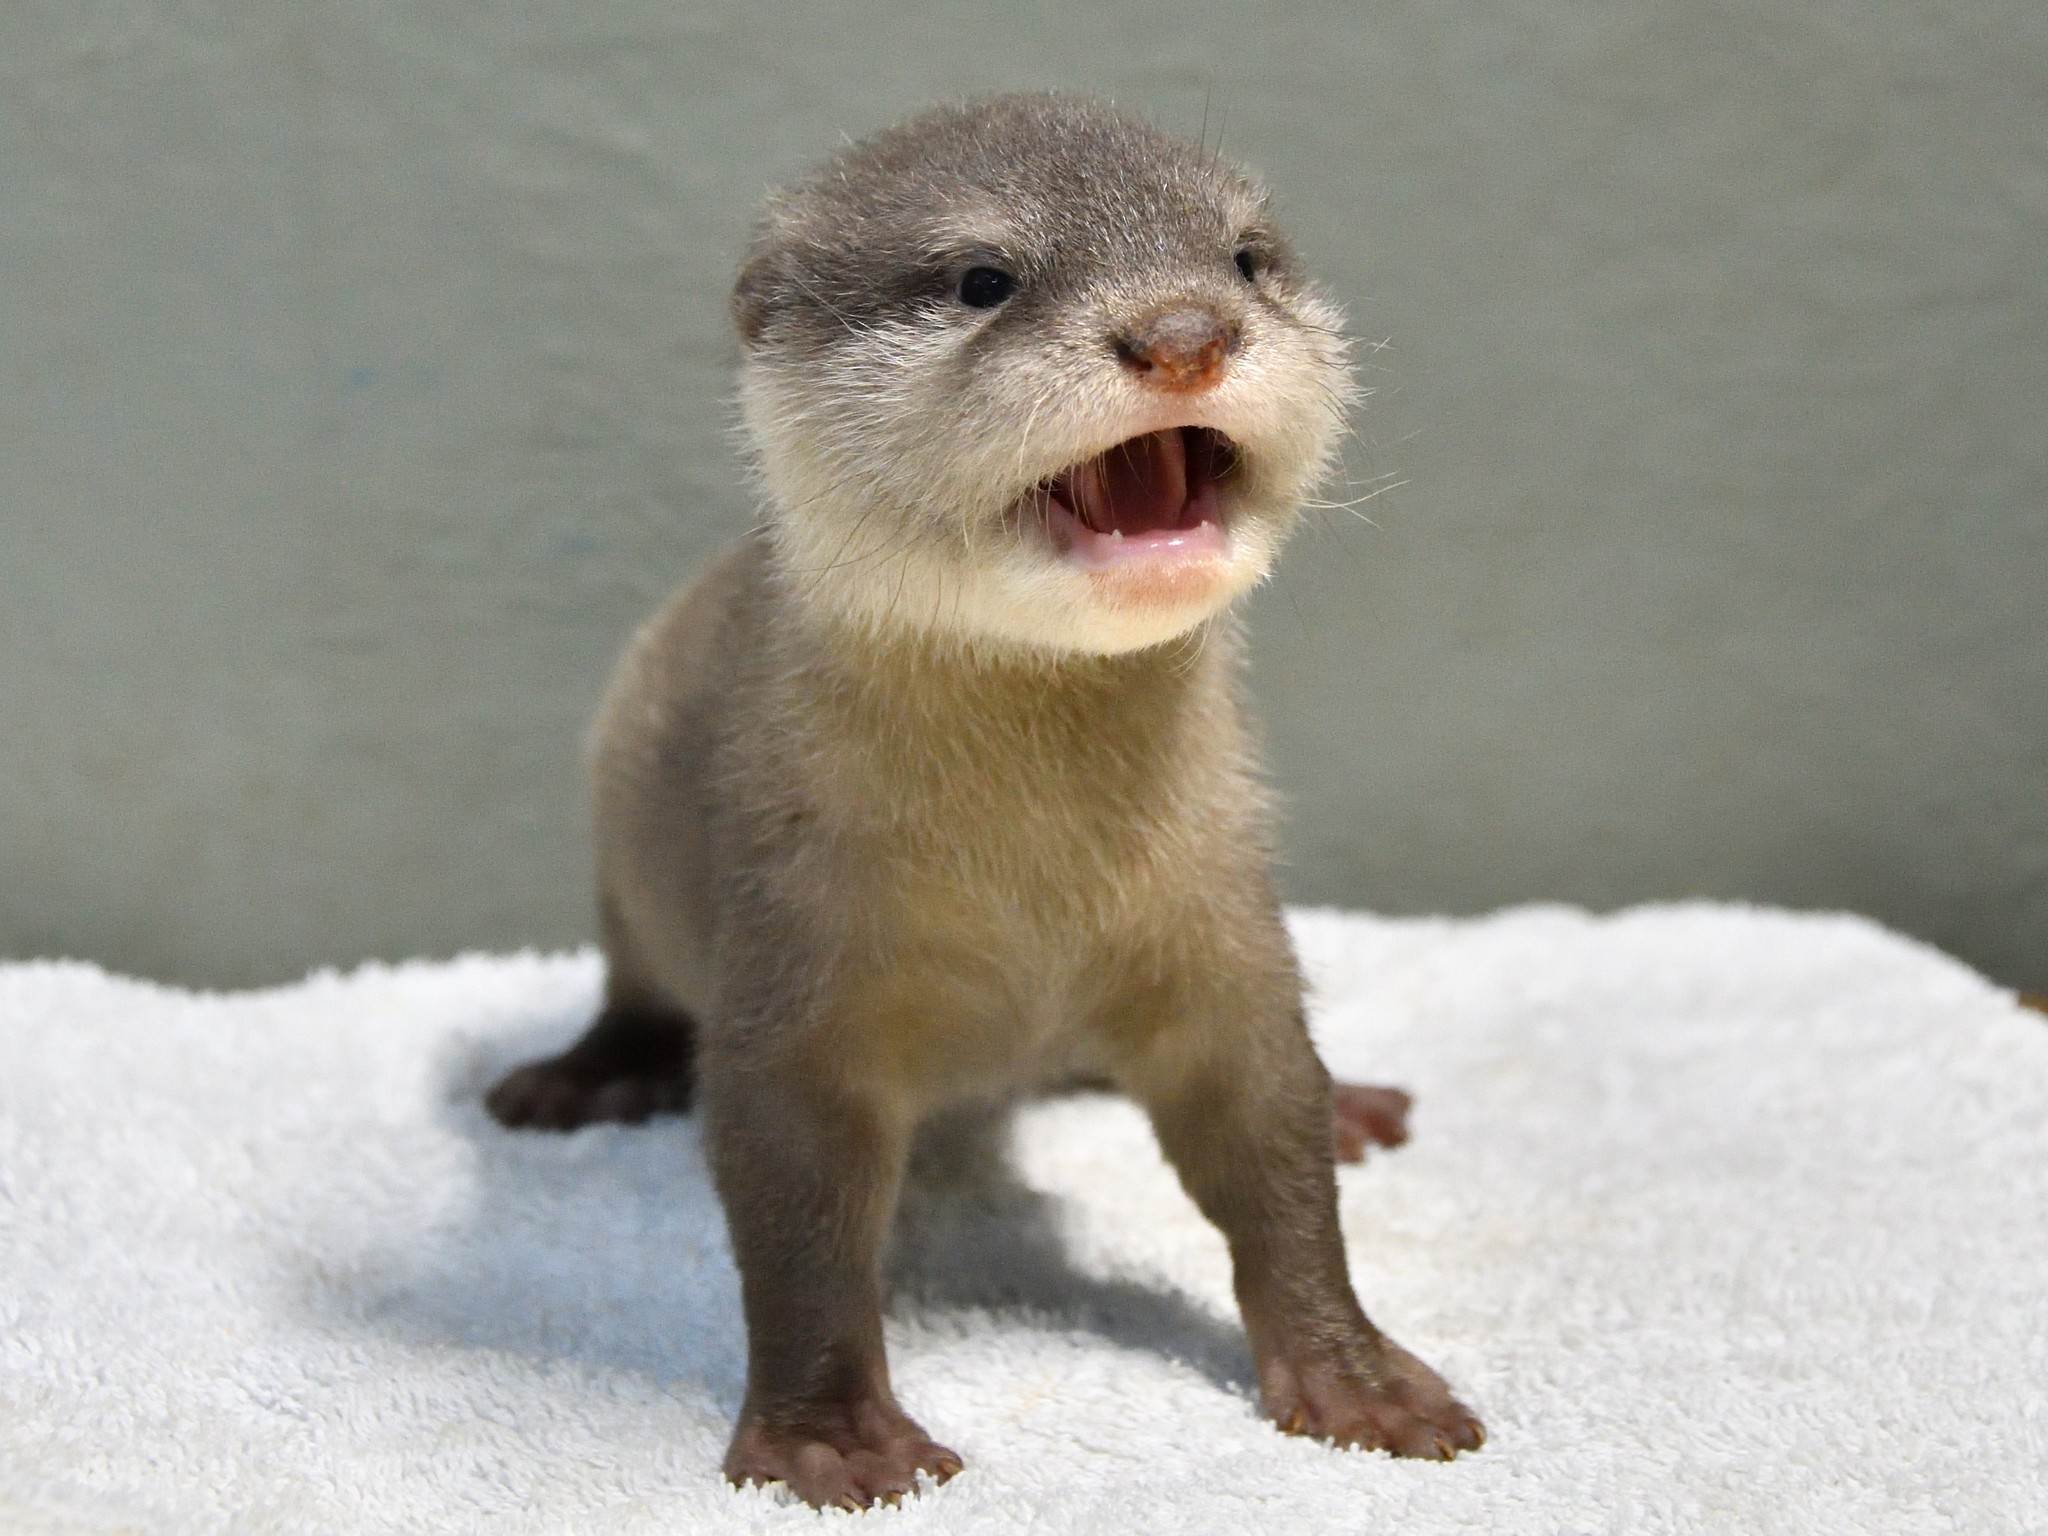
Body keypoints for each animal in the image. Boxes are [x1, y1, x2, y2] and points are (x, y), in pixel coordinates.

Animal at [495, 96, 1490, 1515]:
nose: (1182, 335)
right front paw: (829, 1435)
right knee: (633, 987)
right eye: (981, 279)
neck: (1035, 893)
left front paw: (1354, 1371)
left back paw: (1358, 1103)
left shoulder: (1220, 929)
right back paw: (577, 1079)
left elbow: (1272, 1146)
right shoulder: (791, 975)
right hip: (623, 847)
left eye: (1245, 259)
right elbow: (795, 1222)